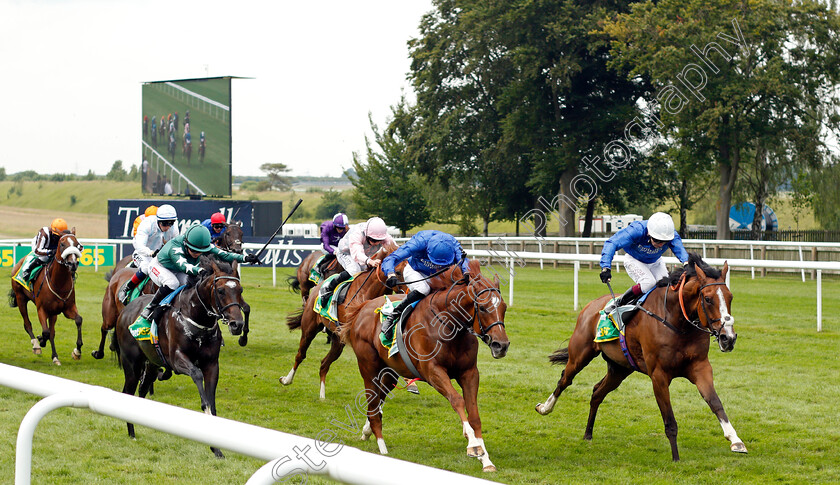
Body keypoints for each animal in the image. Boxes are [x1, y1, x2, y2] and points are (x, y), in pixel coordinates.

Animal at [8, 231, 83, 364]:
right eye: (62, 244)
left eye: (77, 244)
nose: (73, 264)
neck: (59, 282)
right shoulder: (41, 309)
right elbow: (46, 332)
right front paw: (41, 340)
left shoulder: (67, 309)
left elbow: (78, 320)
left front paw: (77, 352)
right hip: (20, 298)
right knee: (27, 324)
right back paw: (36, 345)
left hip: (53, 312)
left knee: (52, 332)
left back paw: (55, 357)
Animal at [111, 258, 244, 458]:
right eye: (221, 291)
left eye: (240, 290)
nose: (238, 324)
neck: (196, 318)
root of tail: (125, 311)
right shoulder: (177, 359)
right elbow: (196, 375)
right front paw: (204, 408)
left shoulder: (212, 365)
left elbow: (212, 400)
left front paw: (217, 449)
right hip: (132, 365)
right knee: (128, 392)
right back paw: (131, 433)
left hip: (151, 364)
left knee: (142, 390)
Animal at [280, 242, 398, 398]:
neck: (367, 291)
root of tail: (318, 288)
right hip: (309, 328)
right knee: (300, 355)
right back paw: (287, 380)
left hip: (337, 340)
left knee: (324, 364)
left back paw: (322, 395)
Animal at [338, 262, 508, 470]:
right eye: (482, 308)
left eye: (504, 307)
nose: (501, 345)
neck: (449, 324)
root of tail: (362, 307)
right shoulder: (433, 371)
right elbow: (457, 400)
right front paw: (473, 446)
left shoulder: (469, 372)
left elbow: (474, 414)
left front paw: (486, 459)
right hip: (369, 368)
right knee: (372, 405)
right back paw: (382, 447)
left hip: (390, 373)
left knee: (379, 399)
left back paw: (367, 431)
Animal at [536, 253, 744, 462]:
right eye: (708, 299)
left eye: (731, 297)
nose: (728, 338)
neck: (676, 321)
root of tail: (592, 305)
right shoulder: (659, 375)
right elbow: (669, 420)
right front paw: (676, 458)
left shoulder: (700, 367)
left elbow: (715, 402)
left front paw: (735, 440)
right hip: (580, 355)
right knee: (565, 379)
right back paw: (545, 408)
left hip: (620, 368)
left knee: (597, 392)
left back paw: (588, 434)